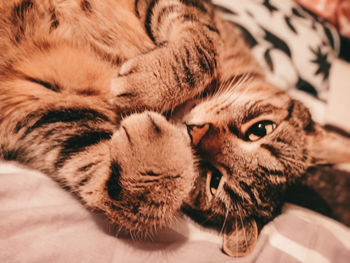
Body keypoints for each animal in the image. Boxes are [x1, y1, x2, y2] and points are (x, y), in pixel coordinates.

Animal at [0, 0, 350, 258]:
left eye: (214, 180)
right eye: (260, 129)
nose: (196, 131)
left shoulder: (45, 112)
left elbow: (120, 193)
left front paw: (152, 151)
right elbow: (205, 48)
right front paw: (149, 85)